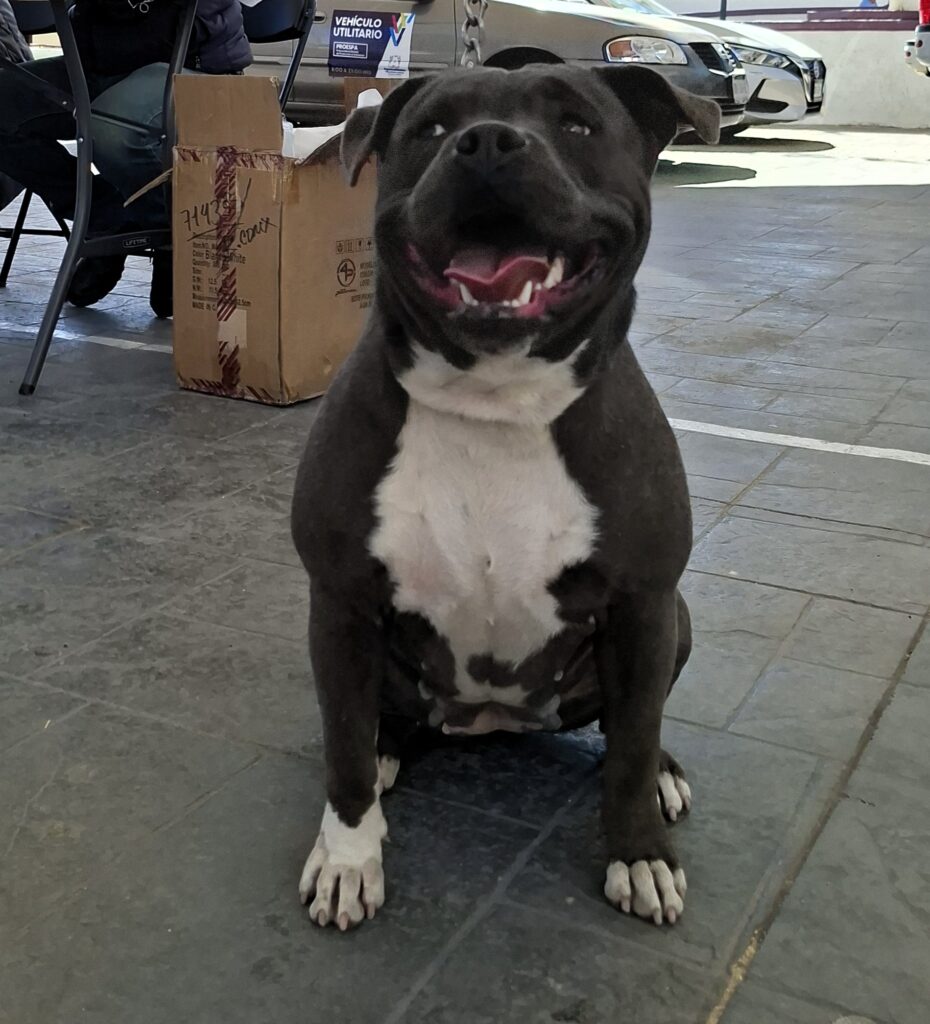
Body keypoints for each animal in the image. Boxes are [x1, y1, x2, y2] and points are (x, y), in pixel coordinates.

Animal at [291, 63, 719, 932]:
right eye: (430, 128)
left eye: (578, 125)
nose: (487, 141)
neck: (497, 398)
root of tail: (491, 720)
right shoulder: (340, 601)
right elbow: (343, 747)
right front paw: (349, 858)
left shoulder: (645, 601)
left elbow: (629, 747)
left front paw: (639, 852)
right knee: (377, 724)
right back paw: (388, 750)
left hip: (677, 621)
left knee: (632, 724)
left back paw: (662, 771)